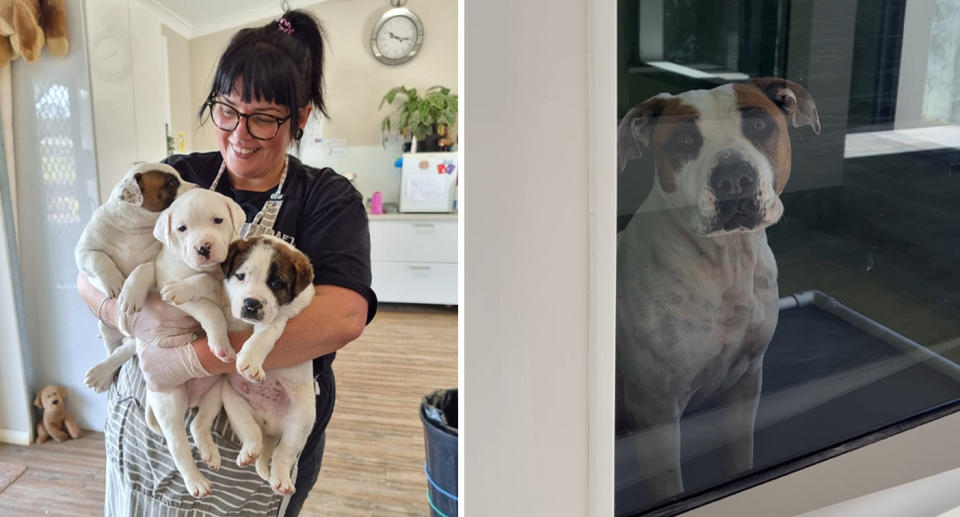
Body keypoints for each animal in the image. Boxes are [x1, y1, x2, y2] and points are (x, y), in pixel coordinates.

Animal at [78, 161, 194, 392]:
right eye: (172, 183)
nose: (196, 187)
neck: (132, 226)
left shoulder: (155, 262)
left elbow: (141, 270)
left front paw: (130, 295)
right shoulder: (83, 251)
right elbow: (98, 258)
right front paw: (113, 282)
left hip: (138, 334)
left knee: (123, 350)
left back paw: (101, 373)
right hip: (106, 325)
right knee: (112, 347)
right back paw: (104, 373)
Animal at [616, 77, 816, 500]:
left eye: (759, 125)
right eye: (684, 139)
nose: (734, 178)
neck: (727, 264)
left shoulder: (745, 384)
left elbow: (740, 457)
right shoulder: (655, 413)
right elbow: (670, 487)